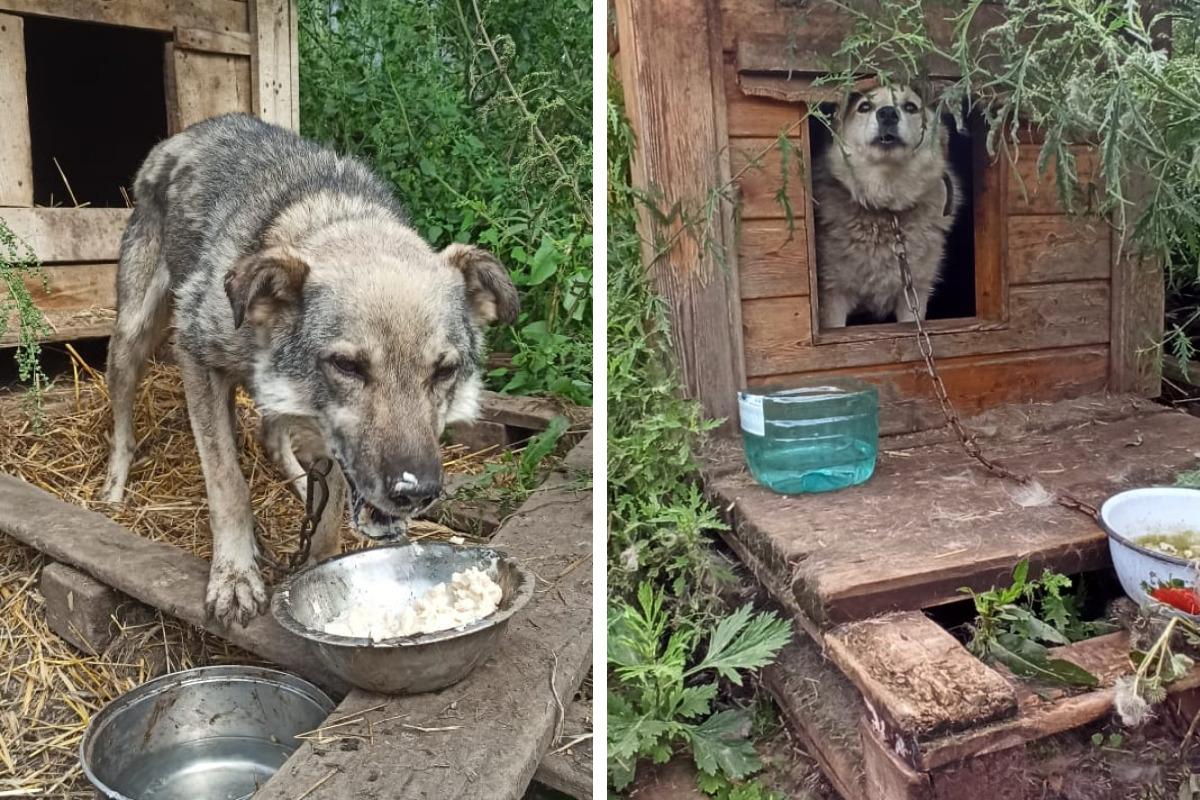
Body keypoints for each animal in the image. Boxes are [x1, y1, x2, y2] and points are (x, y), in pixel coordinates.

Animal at [102, 113, 516, 623]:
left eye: (444, 371)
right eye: (348, 366)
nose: (415, 492)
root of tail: (191, 131)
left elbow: (331, 511)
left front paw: (322, 569)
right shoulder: (195, 358)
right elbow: (227, 485)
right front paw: (235, 578)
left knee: (272, 436)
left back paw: (300, 482)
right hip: (133, 337)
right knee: (124, 421)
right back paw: (114, 489)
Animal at [811, 82, 960, 328]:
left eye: (911, 107)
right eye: (864, 106)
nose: (888, 113)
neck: (886, 208)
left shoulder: (914, 296)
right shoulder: (833, 296)